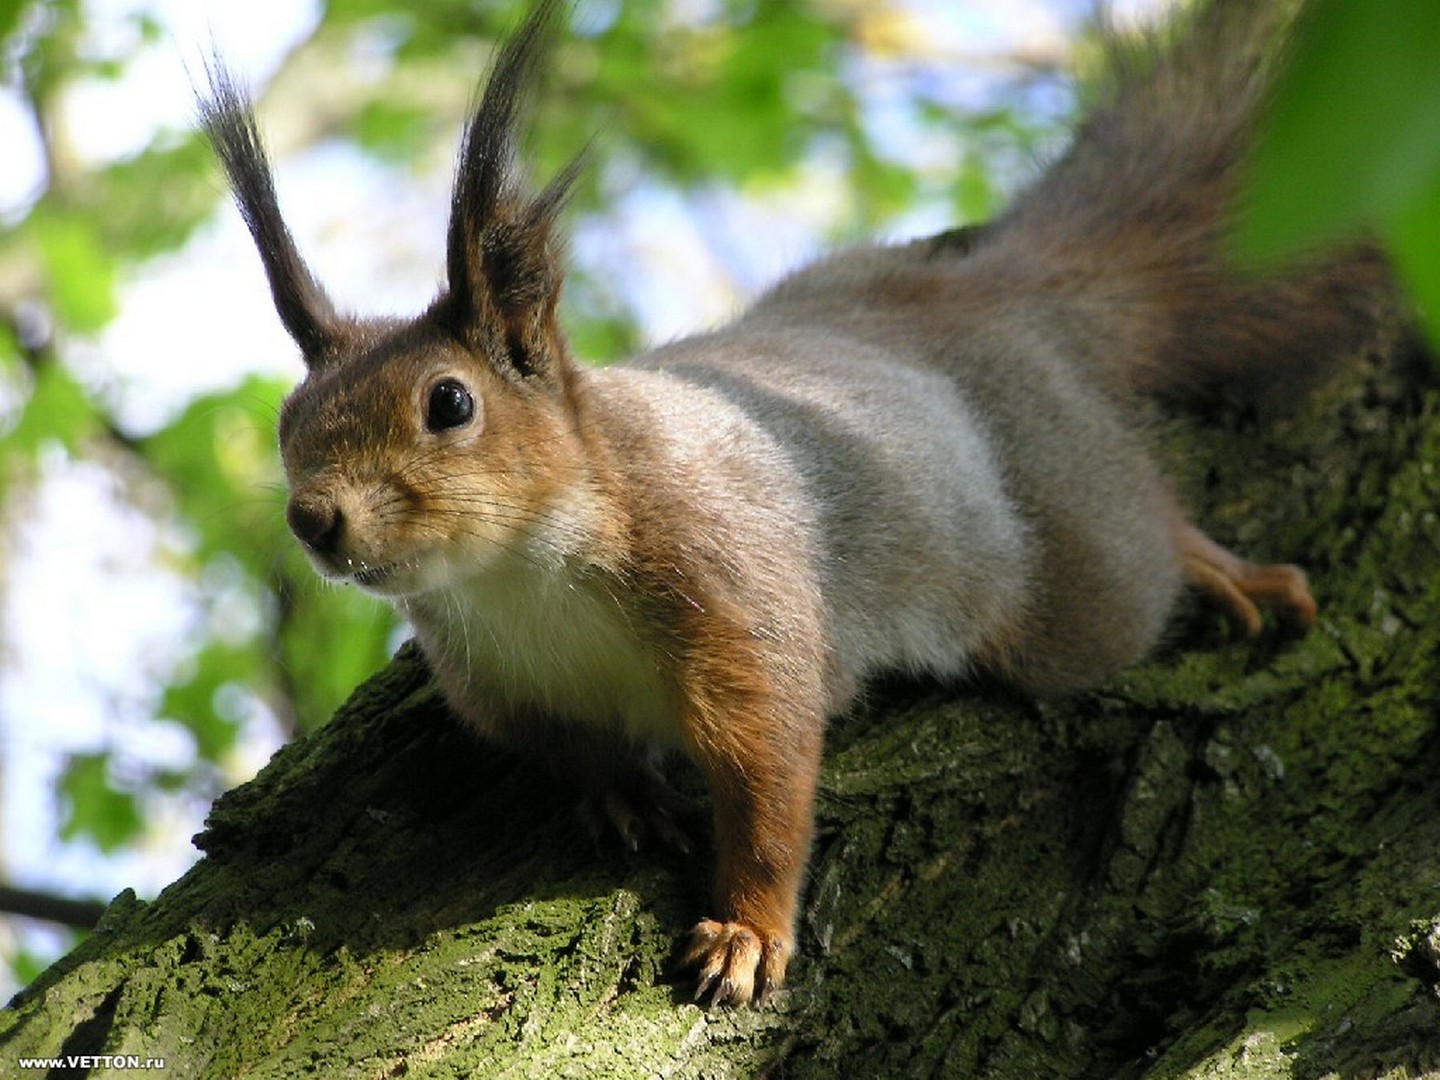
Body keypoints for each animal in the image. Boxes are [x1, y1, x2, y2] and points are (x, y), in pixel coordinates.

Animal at [197, 2, 1388, 1013]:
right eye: (291, 422)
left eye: (449, 402)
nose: (314, 519)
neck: (521, 579)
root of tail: (998, 299)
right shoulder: (504, 689)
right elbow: (578, 753)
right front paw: (620, 796)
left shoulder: (735, 593)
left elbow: (769, 777)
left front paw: (748, 933)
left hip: (1072, 556)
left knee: (1135, 551)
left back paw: (1215, 565)